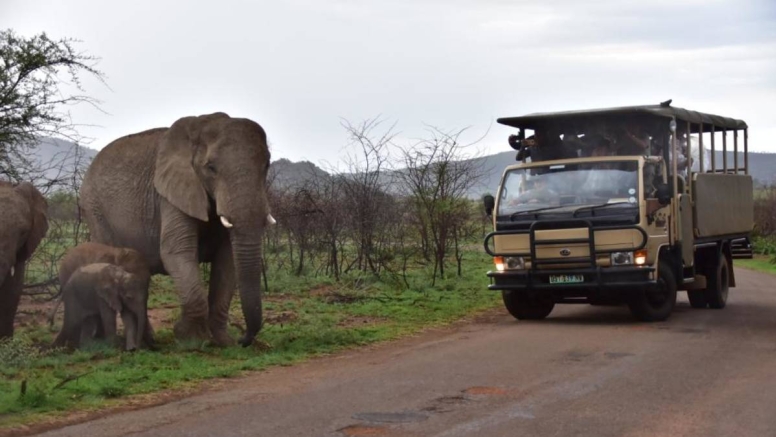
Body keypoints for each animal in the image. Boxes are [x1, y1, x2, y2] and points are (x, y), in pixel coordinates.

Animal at [80, 113, 274, 348]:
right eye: (211, 168)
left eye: (267, 165)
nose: (242, 338)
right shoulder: (171, 194)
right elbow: (177, 251)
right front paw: (190, 339)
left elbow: (227, 260)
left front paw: (223, 342)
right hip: (95, 211)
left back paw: (148, 343)